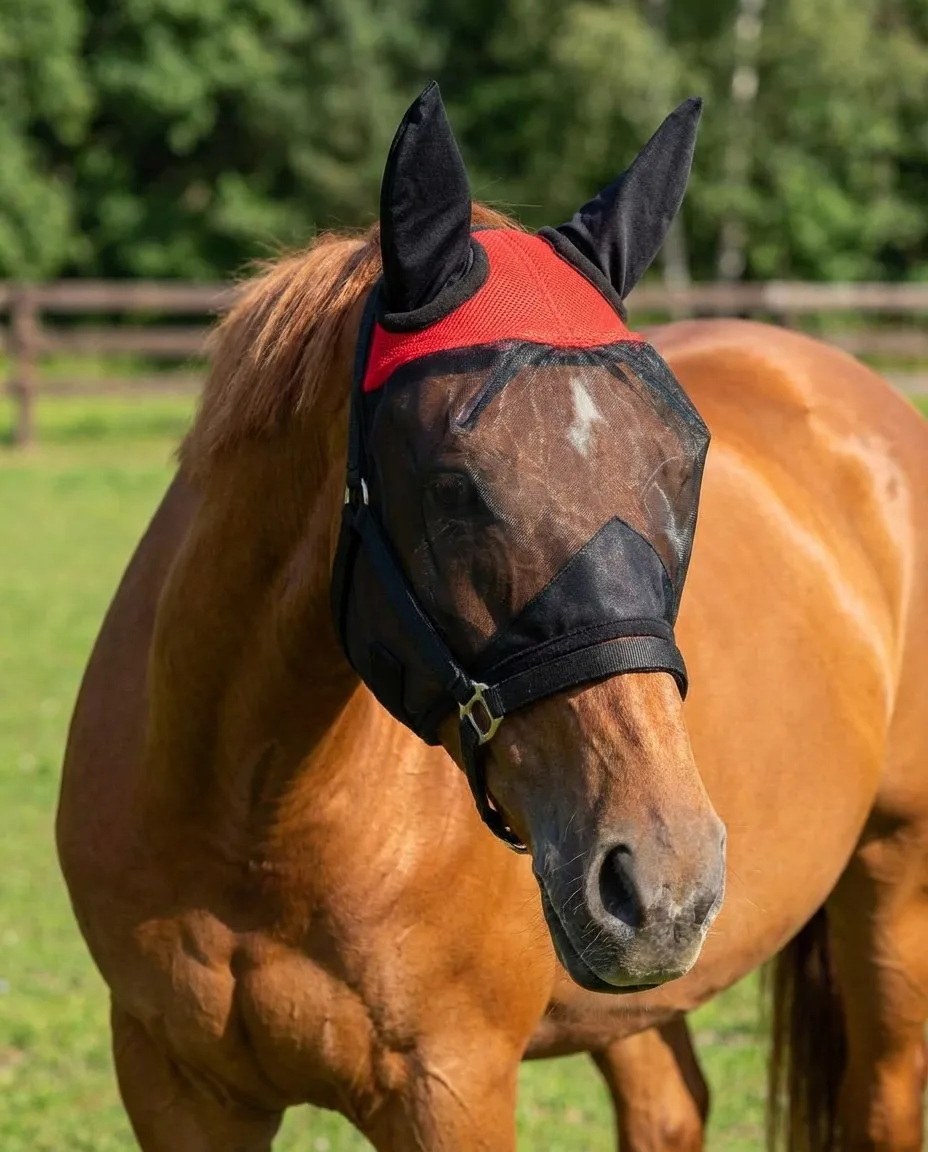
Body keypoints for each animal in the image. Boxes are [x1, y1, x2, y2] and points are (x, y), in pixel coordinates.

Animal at [56, 86, 928, 1151]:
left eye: (690, 465)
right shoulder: (174, 1083)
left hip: (892, 887)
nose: (668, 875)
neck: (253, 819)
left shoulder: (452, 1087)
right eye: (453, 485)